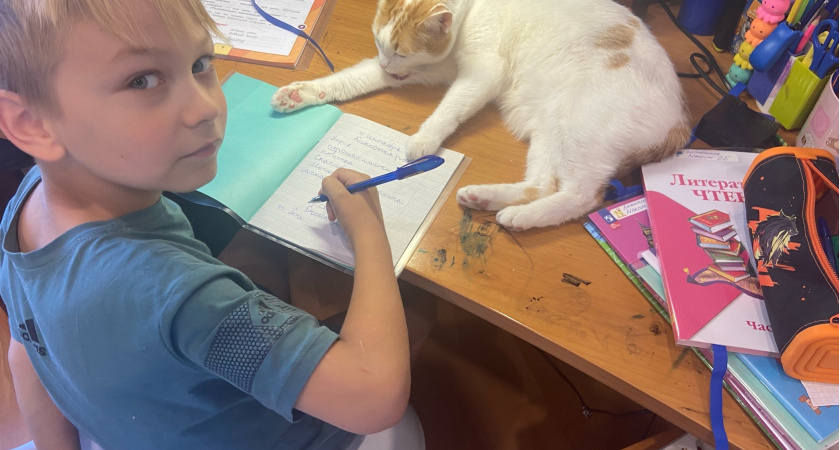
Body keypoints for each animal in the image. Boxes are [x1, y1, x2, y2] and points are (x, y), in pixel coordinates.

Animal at [271, 0, 689, 231]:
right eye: (379, 43)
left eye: (401, 51)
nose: (389, 64)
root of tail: (680, 120)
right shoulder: (435, 68)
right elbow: (352, 79)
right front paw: (300, 93)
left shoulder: (481, 72)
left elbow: (449, 108)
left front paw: (424, 142)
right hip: (549, 130)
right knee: (541, 185)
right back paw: (488, 200)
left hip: (579, 132)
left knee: (582, 196)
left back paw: (521, 218)